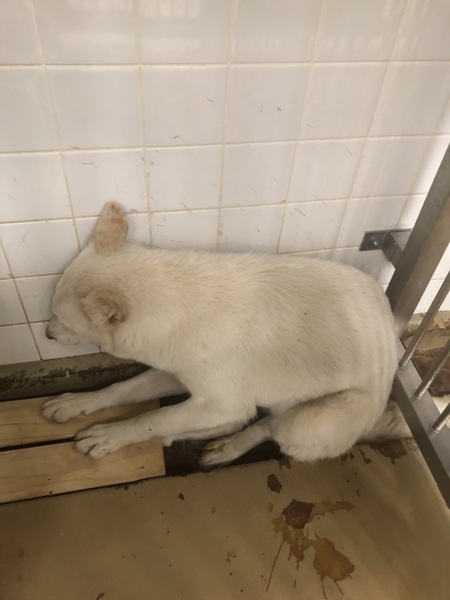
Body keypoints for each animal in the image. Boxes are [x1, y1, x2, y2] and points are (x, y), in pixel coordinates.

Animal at [43, 202, 409, 465]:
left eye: (60, 319)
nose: (46, 334)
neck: (178, 304)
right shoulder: (176, 373)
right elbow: (119, 389)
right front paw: (77, 403)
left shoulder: (222, 403)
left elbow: (153, 417)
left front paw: (109, 436)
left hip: (310, 421)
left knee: (264, 426)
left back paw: (230, 444)